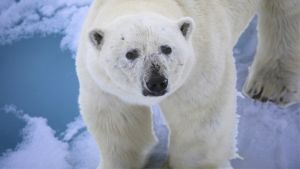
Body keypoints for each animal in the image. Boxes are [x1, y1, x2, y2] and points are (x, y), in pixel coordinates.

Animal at [76, 0, 300, 168]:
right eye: (131, 53)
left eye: (166, 48)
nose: (156, 82)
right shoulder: (101, 83)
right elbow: (119, 122)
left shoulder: (200, 63)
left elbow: (199, 121)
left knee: (287, 16)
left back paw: (269, 88)